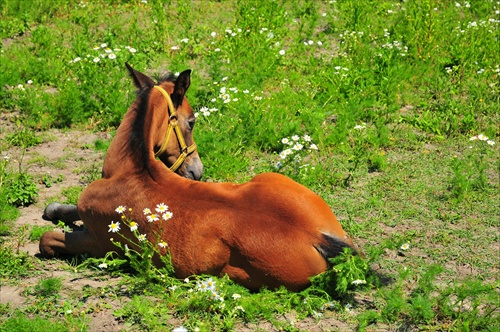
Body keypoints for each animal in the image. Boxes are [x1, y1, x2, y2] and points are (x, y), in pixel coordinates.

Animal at [41, 64, 358, 290]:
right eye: (192, 121)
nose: (197, 170)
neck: (132, 169)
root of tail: (318, 237)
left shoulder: (99, 242)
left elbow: (48, 239)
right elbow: (64, 209)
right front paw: (52, 209)